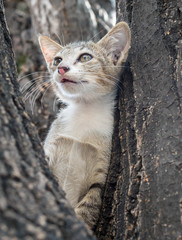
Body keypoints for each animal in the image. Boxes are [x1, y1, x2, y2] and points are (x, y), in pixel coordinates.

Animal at [38, 22, 130, 229]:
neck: (84, 113)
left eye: (85, 57)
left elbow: (89, 206)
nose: (61, 68)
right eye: (57, 60)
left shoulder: (102, 171)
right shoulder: (50, 147)